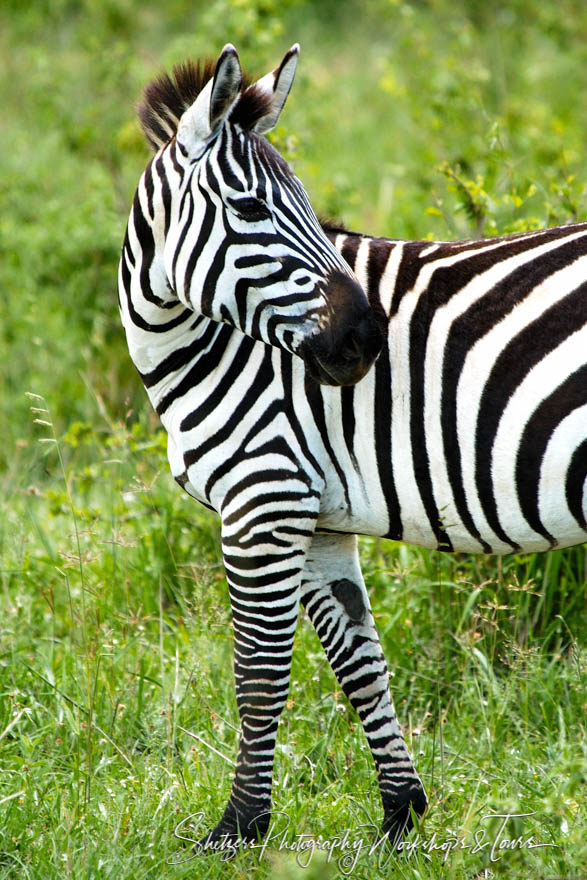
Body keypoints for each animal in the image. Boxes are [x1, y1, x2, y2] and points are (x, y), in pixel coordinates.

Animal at [117, 43, 584, 852]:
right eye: (251, 210)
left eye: (308, 206)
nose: (366, 339)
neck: (211, 344)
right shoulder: (318, 521)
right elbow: (359, 663)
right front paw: (400, 815)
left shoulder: (262, 501)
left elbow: (259, 675)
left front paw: (238, 828)